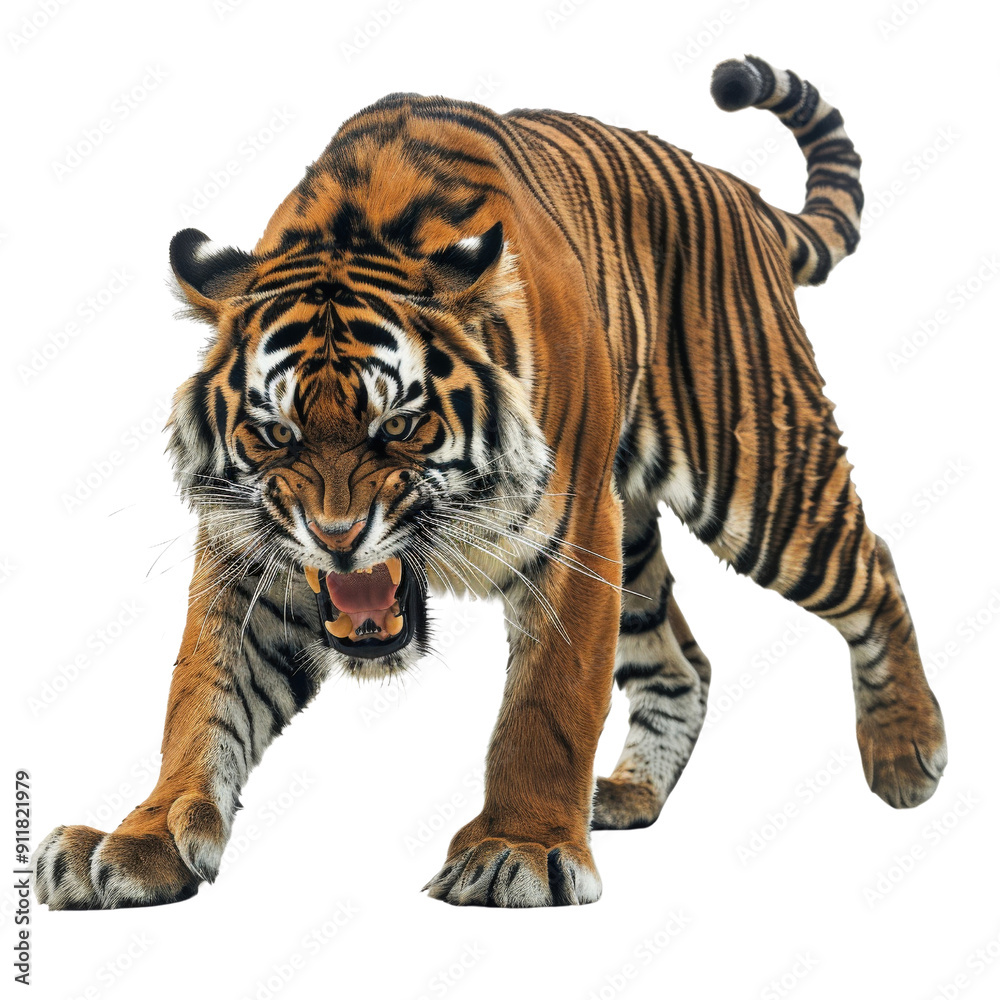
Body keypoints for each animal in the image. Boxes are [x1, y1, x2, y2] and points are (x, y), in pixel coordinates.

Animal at [33, 54, 947, 910]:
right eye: (276, 434)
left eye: (398, 426)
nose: (336, 538)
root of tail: (740, 193)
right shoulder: (249, 554)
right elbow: (202, 695)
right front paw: (138, 840)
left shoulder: (574, 539)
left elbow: (548, 708)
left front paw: (522, 851)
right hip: (637, 532)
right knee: (682, 662)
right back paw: (629, 795)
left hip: (759, 479)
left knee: (872, 567)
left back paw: (907, 751)